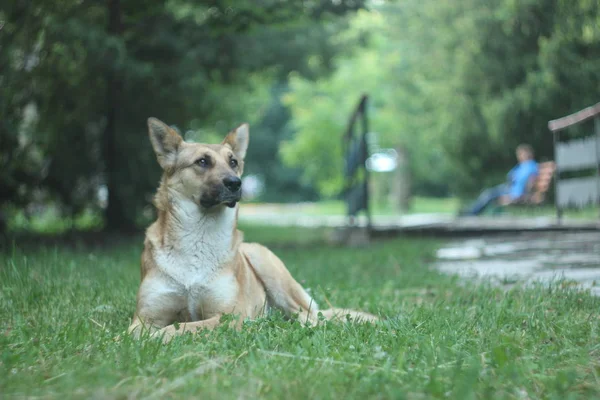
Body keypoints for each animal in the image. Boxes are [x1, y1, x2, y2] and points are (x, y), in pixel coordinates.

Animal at [128, 117, 378, 342]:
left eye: (233, 162)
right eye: (202, 161)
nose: (235, 184)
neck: (199, 235)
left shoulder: (229, 317)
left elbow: (183, 326)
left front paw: (158, 336)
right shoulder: (144, 317)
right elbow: (129, 334)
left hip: (265, 262)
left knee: (310, 318)